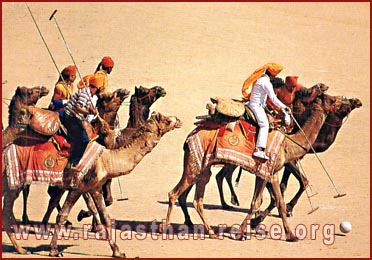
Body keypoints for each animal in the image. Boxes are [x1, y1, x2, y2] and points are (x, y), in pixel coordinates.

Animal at [2, 109, 182, 256]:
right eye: (166, 120)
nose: (178, 119)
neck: (105, 160)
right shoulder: (78, 186)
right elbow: (62, 215)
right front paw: (53, 250)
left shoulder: (95, 187)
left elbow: (106, 217)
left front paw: (118, 251)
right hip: (15, 183)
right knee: (6, 212)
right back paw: (21, 248)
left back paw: (20, 246)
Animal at [158, 95, 332, 242]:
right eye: (331, 101)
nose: (341, 99)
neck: (288, 144)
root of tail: (190, 136)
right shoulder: (266, 172)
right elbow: (262, 203)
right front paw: (241, 232)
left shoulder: (271, 173)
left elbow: (275, 202)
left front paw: (290, 235)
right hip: (196, 164)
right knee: (175, 194)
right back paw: (166, 228)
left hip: (201, 167)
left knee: (194, 198)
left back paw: (203, 229)